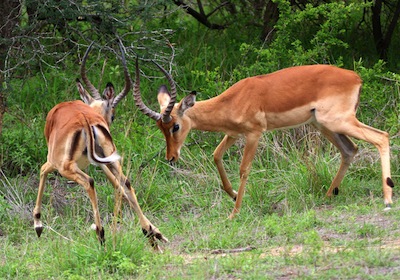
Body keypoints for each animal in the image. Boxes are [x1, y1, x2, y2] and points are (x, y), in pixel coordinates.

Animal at [32, 41, 167, 249]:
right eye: (113, 115)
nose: (110, 122)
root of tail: (86, 119)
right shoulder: (102, 161)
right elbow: (118, 186)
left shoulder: (53, 161)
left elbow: (42, 171)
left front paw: (38, 225)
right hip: (110, 159)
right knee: (126, 183)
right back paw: (152, 235)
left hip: (65, 166)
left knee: (89, 182)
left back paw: (101, 235)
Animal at [134, 60, 394, 219]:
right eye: (160, 127)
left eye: (175, 126)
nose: (171, 157)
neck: (234, 99)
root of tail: (356, 78)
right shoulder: (233, 133)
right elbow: (216, 155)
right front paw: (233, 195)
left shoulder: (254, 134)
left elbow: (244, 169)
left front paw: (235, 212)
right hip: (323, 125)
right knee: (350, 150)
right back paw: (329, 195)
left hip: (338, 122)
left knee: (381, 137)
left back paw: (388, 200)